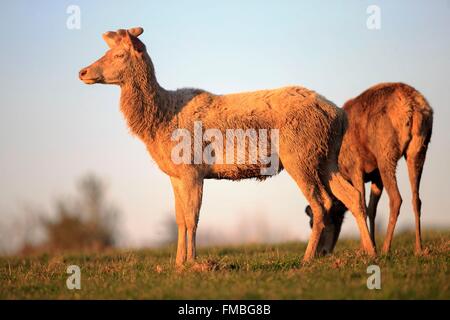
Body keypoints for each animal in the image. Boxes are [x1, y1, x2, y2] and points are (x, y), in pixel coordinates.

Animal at [80, 27, 376, 266]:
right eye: (106, 51)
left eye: (119, 55)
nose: (82, 71)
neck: (160, 123)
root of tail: (340, 115)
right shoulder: (175, 175)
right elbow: (179, 218)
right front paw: (177, 263)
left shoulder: (193, 168)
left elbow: (192, 217)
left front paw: (191, 262)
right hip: (326, 158)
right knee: (351, 196)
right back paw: (370, 252)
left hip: (299, 156)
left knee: (321, 203)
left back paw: (307, 259)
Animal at [306, 82, 432, 255]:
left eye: (313, 223)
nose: (321, 252)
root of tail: (413, 105)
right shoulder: (375, 175)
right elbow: (372, 209)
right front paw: (372, 245)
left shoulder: (355, 167)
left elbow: (361, 204)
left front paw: (364, 249)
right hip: (418, 150)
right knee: (416, 199)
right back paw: (419, 248)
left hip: (386, 153)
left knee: (396, 199)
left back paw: (386, 248)